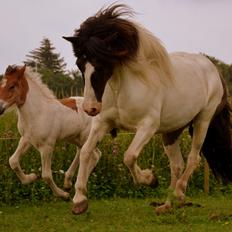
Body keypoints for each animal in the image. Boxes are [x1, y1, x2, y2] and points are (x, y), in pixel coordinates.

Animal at [0, 65, 100, 199]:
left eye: (12, 86)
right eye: (1, 84)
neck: (37, 112)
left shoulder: (46, 146)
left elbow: (46, 175)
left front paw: (63, 195)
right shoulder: (26, 139)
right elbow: (13, 161)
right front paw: (31, 177)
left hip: (86, 137)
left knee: (94, 155)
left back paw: (79, 189)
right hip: (76, 138)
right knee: (83, 153)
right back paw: (68, 183)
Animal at [64, 4, 232, 215]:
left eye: (102, 63)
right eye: (80, 64)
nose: (90, 108)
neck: (122, 88)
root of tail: (214, 69)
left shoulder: (147, 126)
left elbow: (129, 157)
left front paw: (150, 179)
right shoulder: (102, 123)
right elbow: (86, 152)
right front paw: (79, 200)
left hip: (203, 121)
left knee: (193, 159)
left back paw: (179, 193)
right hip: (172, 131)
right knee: (177, 165)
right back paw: (167, 205)